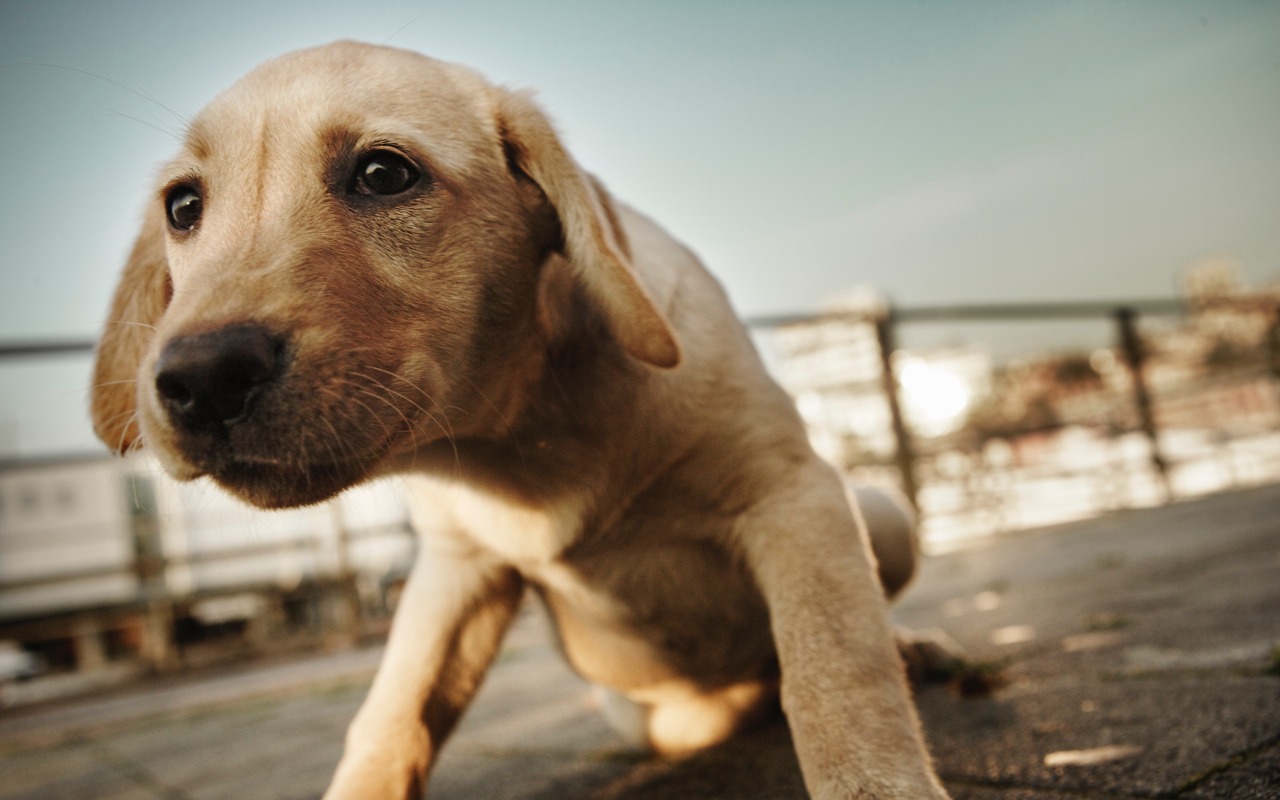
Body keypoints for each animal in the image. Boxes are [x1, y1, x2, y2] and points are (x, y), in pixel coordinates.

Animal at [90, 43, 947, 798]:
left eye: (382, 174)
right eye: (184, 207)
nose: (199, 379)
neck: (521, 432)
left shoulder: (791, 497)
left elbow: (838, 674)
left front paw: (878, 778)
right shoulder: (454, 570)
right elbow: (392, 715)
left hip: (880, 512)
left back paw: (916, 651)